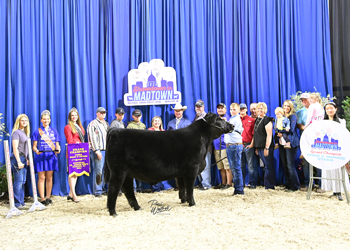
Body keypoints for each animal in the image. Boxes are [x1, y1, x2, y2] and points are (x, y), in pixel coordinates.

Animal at [102, 112, 234, 216]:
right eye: (220, 119)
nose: (232, 125)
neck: (202, 138)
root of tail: (115, 130)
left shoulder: (182, 172)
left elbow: (182, 187)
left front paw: (183, 200)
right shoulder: (192, 168)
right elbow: (190, 188)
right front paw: (192, 203)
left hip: (128, 173)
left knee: (128, 190)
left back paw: (137, 207)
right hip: (118, 171)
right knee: (113, 189)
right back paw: (113, 212)